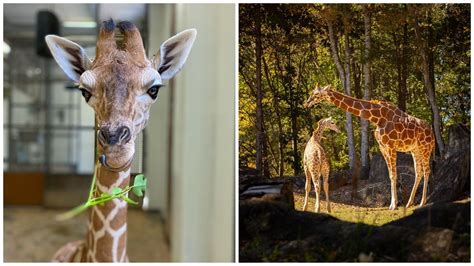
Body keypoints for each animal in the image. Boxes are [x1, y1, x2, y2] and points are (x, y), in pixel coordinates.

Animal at [306, 85, 436, 210]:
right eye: (312, 92)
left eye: (316, 94)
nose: (307, 103)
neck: (377, 117)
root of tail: (432, 131)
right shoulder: (383, 147)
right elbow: (390, 175)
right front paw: (392, 204)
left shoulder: (391, 147)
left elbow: (394, 175)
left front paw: (394, 205)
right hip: (415, 150)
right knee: (419, 171)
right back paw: (409, 203)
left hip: (425, 148)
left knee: (427, 170)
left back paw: (422, 202)